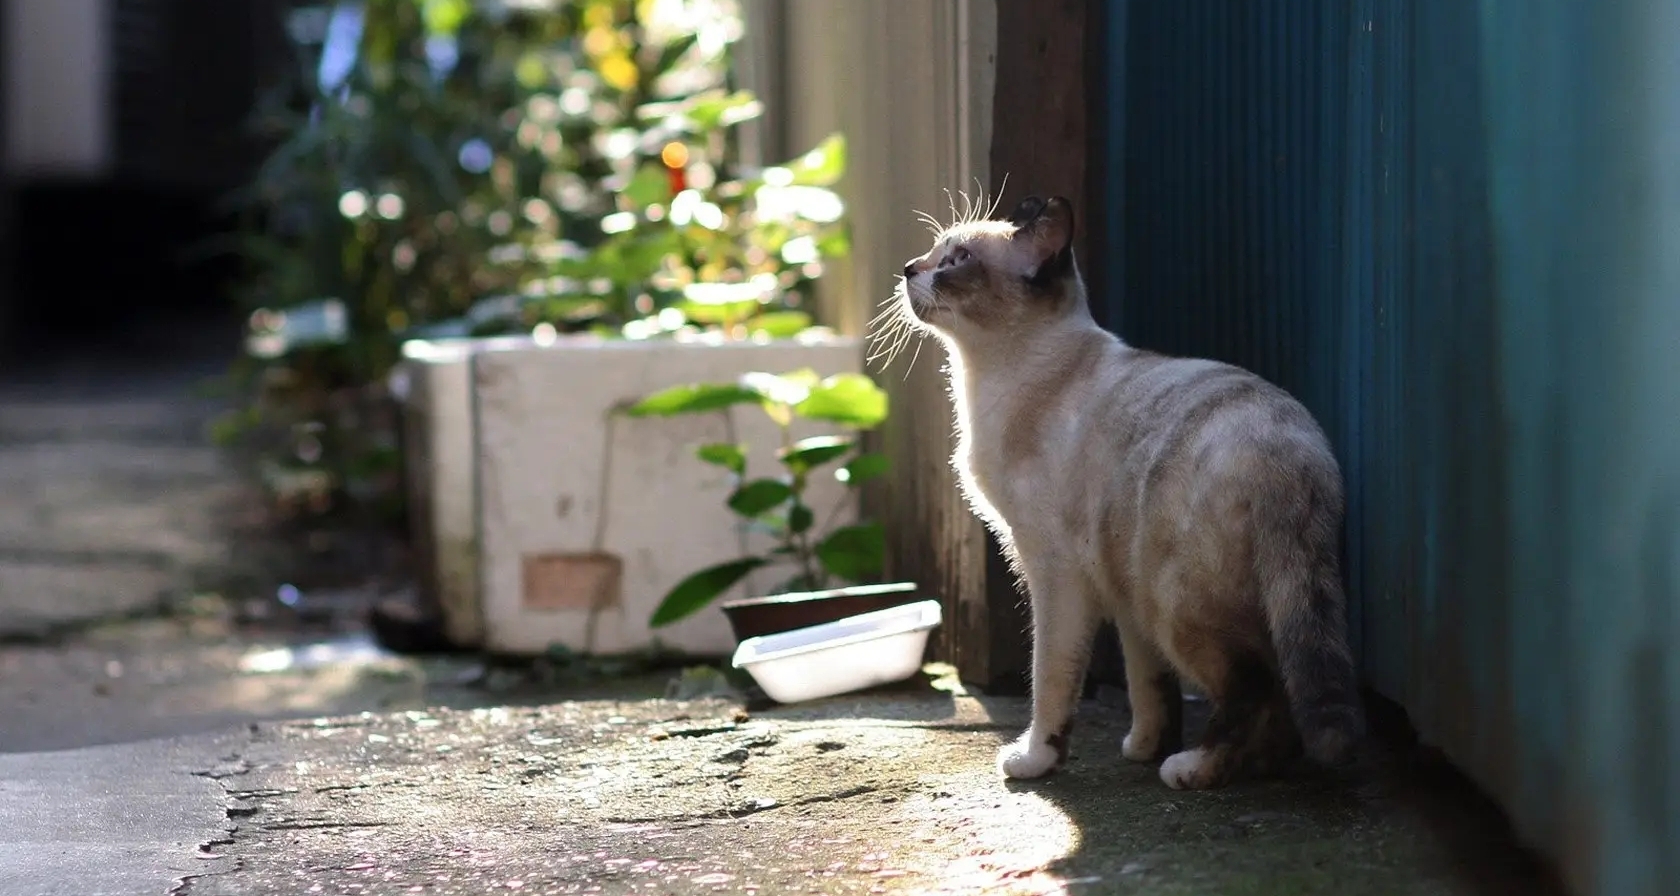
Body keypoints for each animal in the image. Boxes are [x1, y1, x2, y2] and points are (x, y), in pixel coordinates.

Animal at [880, 192, 1364, 786]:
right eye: (933, 252)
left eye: (957, 260)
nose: (909, 269)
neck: (991, 378)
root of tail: (1293, 454)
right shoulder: (1121, 593)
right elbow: (1147, 684)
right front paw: (1142, 746)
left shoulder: (1055, 573)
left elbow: (1051, 681)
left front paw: (1034, 760)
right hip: (1156, 588)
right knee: (1277, 698)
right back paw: (1244, 765)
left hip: (1171, 602)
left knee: (1256, 687)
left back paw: (1193, 770)